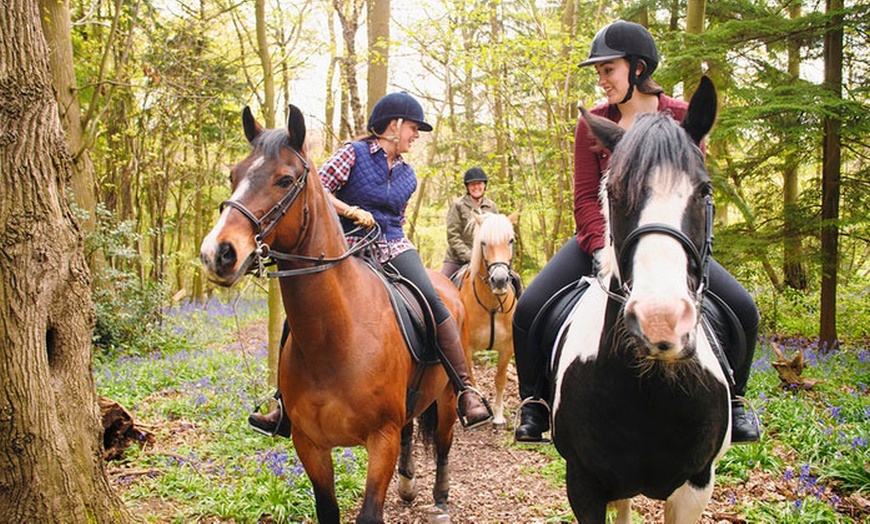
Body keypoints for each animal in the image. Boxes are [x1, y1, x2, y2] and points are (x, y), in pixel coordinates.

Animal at [202, 104, 466, 520]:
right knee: (411, 429)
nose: (218, 253)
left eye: (284, 180)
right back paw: (408, 484)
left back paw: (440, 499)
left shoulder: (380, 439)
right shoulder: (309, 443)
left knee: (443, 443)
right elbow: (327, 510)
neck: (336, 338)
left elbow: (370, 512)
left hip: (447, 398)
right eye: (234, 175)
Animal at [460, 211, 520, 428]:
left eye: (511, 240)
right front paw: (476, 410)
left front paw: (499, 415)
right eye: (483, 243)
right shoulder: (466, 348)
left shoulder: (507, 347)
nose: (500, 280)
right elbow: (471, 379)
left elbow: (500, 379)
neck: (492, 305)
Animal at [556, 74, 732, 524]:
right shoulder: (583, 484)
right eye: (614, 193)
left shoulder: (695, 487)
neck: (649, 391)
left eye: (704, 190)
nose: (660, 321)